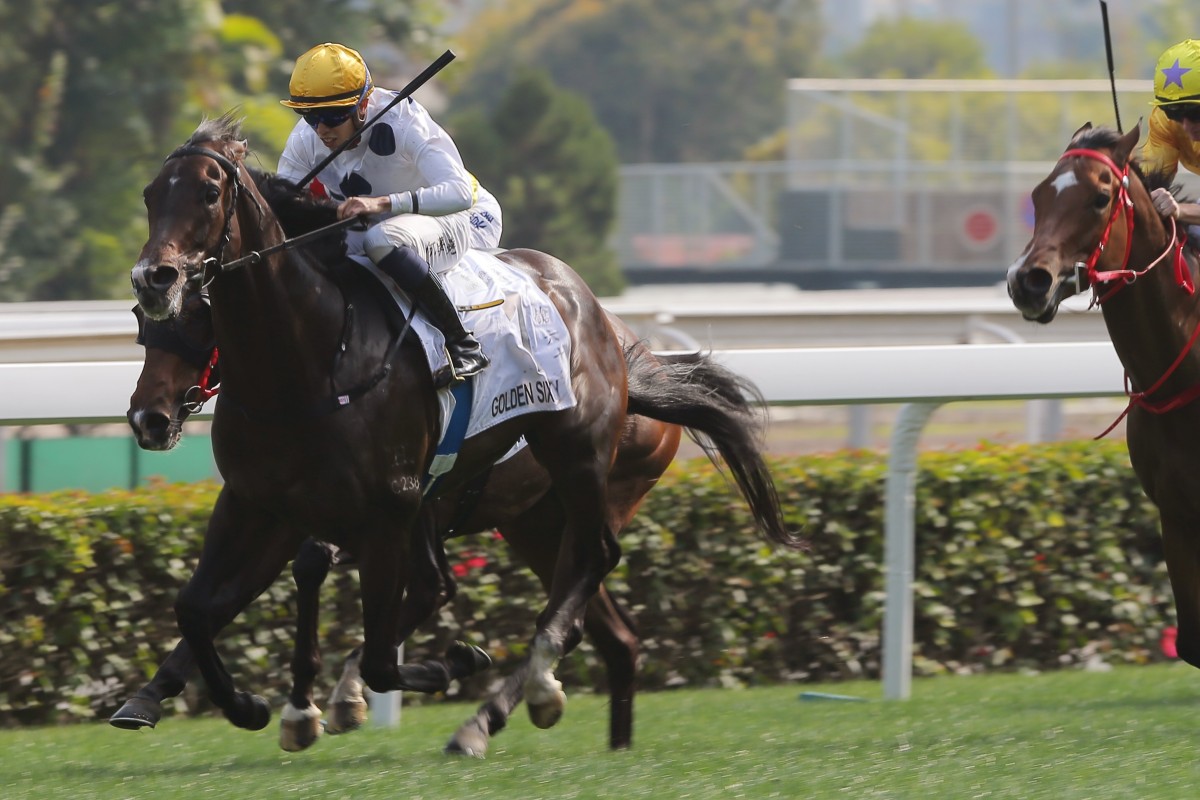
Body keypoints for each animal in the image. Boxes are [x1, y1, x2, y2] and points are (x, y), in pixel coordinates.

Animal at [126, 115, 801, 748]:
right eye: (151, 194)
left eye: (209, 193)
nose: (155, 279)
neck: (307, 361)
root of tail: (620, 343)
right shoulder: (263, 502)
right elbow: (197, 608)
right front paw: (236, 704)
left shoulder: (388, 509)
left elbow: (382, 642)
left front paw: (435, 667)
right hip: (533, 519)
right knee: (610, 627)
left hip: (581, 462)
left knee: (591, 564)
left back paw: (509, 701)